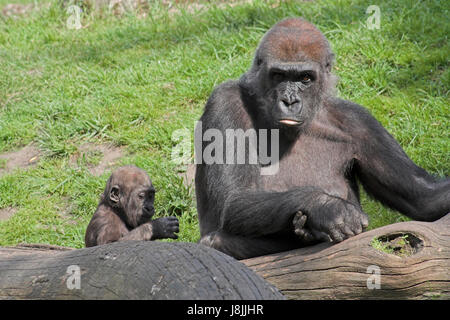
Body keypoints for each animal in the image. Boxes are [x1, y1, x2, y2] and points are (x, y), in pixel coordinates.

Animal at [195, 18, 448, 260]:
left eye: (306, 78)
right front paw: (326, 207)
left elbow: (423, 197)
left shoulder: (361, 124)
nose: (289, 101)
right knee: (213, 241)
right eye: (278, 76)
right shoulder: (225, 100)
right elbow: (235, 197)